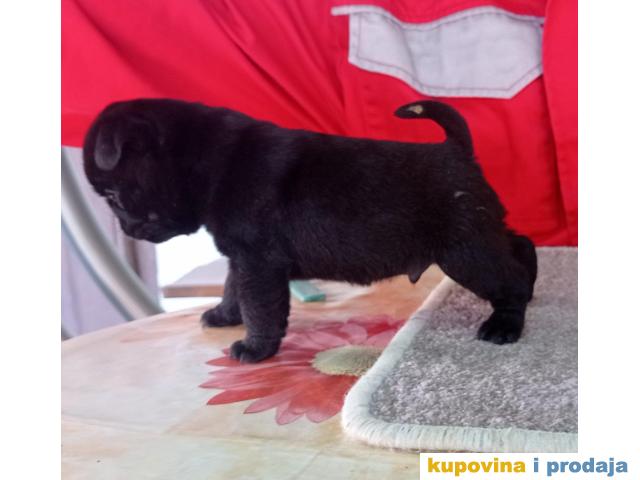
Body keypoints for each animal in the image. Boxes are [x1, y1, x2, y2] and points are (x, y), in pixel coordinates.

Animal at [83, 98, 537, 363]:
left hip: (465, 254)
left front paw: (255, 347)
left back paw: (505, 324)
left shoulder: (258, 262)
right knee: (520, 245)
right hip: (476, 241)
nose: (128, 228)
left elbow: (260, 307)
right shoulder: (241, 259)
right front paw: (225, 316)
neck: (211, 159)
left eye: (114, 197)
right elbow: (233, 290)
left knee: (507, 279)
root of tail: (456, 149)